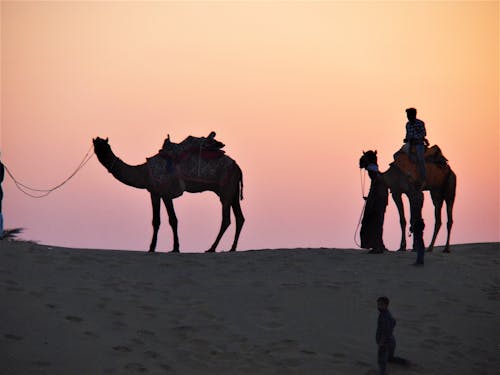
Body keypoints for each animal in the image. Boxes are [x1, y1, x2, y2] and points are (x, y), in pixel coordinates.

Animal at [93, 137, 245, 254]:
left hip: (225, 190)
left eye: (105, 146)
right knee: (239, 217)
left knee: (226, 219)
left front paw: (175, 248)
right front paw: (151, 248)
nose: (98, 148)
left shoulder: (166, 192)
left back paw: (211, 248)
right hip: (232, 191)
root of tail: (238, 168)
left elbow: (173, 220)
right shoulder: (154, 192)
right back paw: (232, 248)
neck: (144, 171)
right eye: (97, 145)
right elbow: (156, 221)